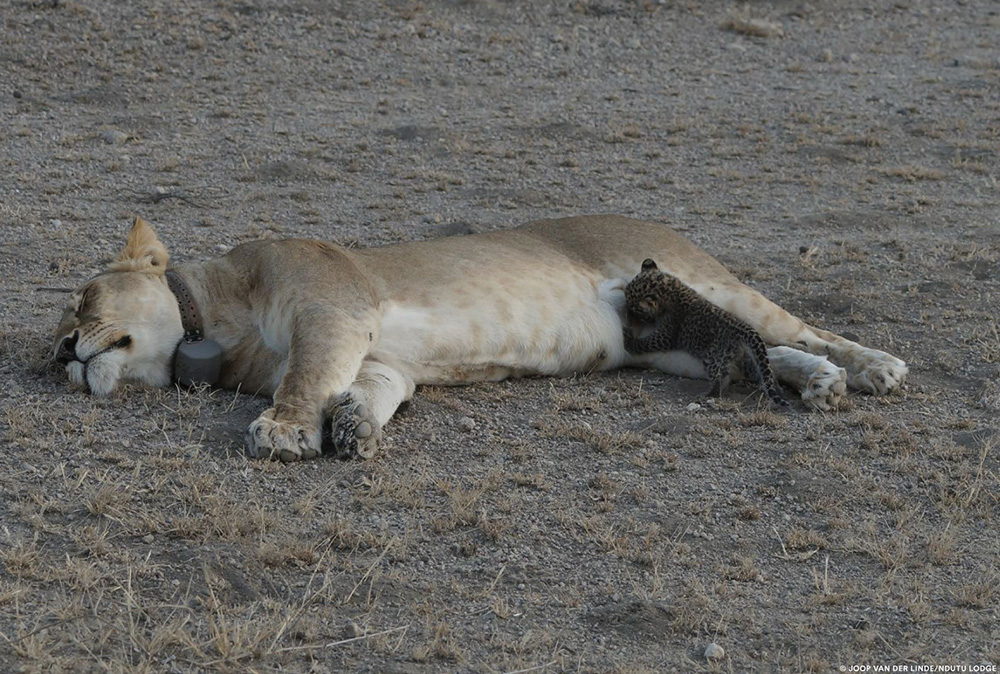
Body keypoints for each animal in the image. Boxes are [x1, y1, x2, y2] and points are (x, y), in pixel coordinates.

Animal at [51, 215, 908, 462]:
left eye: (80, 302)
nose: (59, 355)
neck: (216, 322)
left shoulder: (332, 307)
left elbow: (307, 376)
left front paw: (286, 430)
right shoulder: (379, 353)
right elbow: (369, 387)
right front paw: (354, 427)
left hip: (711, 283)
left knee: (800, 325)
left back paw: (872, 369)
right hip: (661, 343)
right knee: (754, 346)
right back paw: (818, 380)